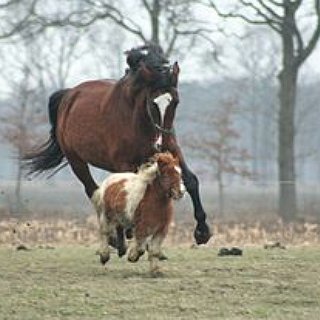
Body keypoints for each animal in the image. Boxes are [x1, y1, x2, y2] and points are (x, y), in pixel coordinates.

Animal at [23, 43, 211, 248]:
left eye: (175, 102)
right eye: (153, 103)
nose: (160, 143)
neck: (138, 121)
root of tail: (69, 95)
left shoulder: (172, 152)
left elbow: (191, 180)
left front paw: (202, 232)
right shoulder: (124, 163)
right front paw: (128, 232)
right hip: (76, 161)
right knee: (94, 191)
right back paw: (115, 236)